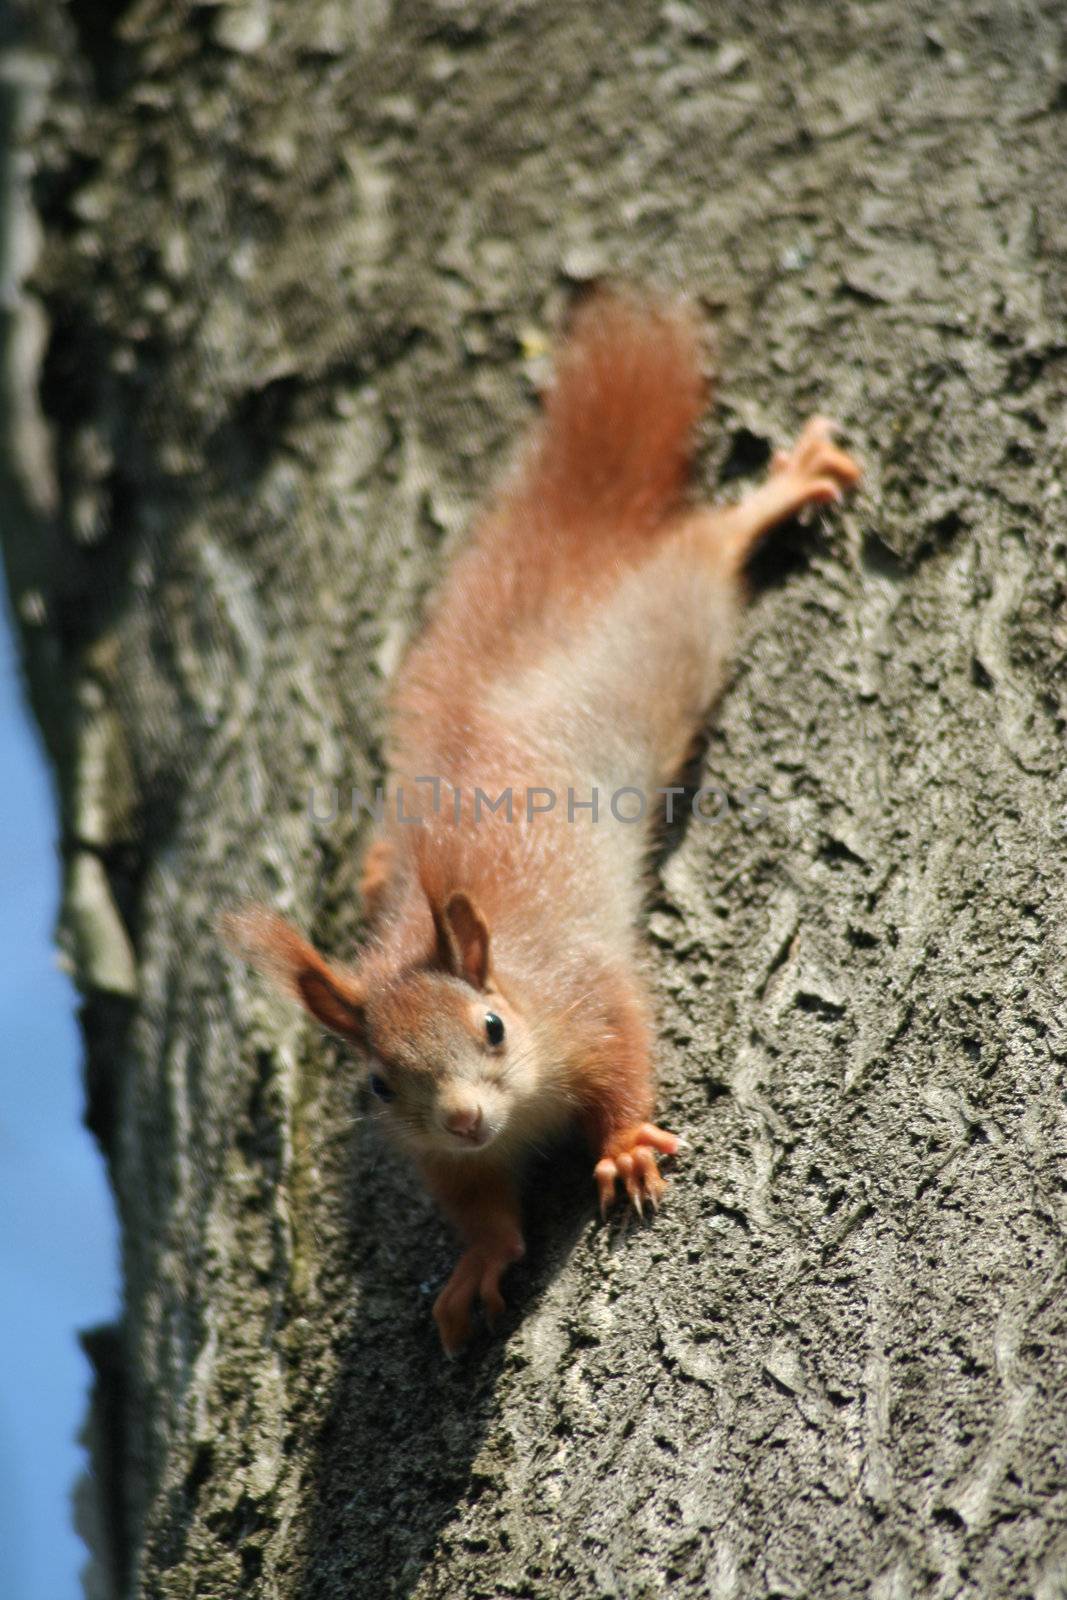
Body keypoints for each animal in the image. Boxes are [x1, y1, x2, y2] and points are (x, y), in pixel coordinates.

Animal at [223, 284, 857, 1350]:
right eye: (379, 1084)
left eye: (491, 1028)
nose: (465, 1117)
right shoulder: (445, 1157)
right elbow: (476, 1208)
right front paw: (476, 1267)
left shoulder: (586, 996)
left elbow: (628, 1059)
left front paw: (628, 1142)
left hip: (669, 628)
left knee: (704, 549)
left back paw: (782, 490)